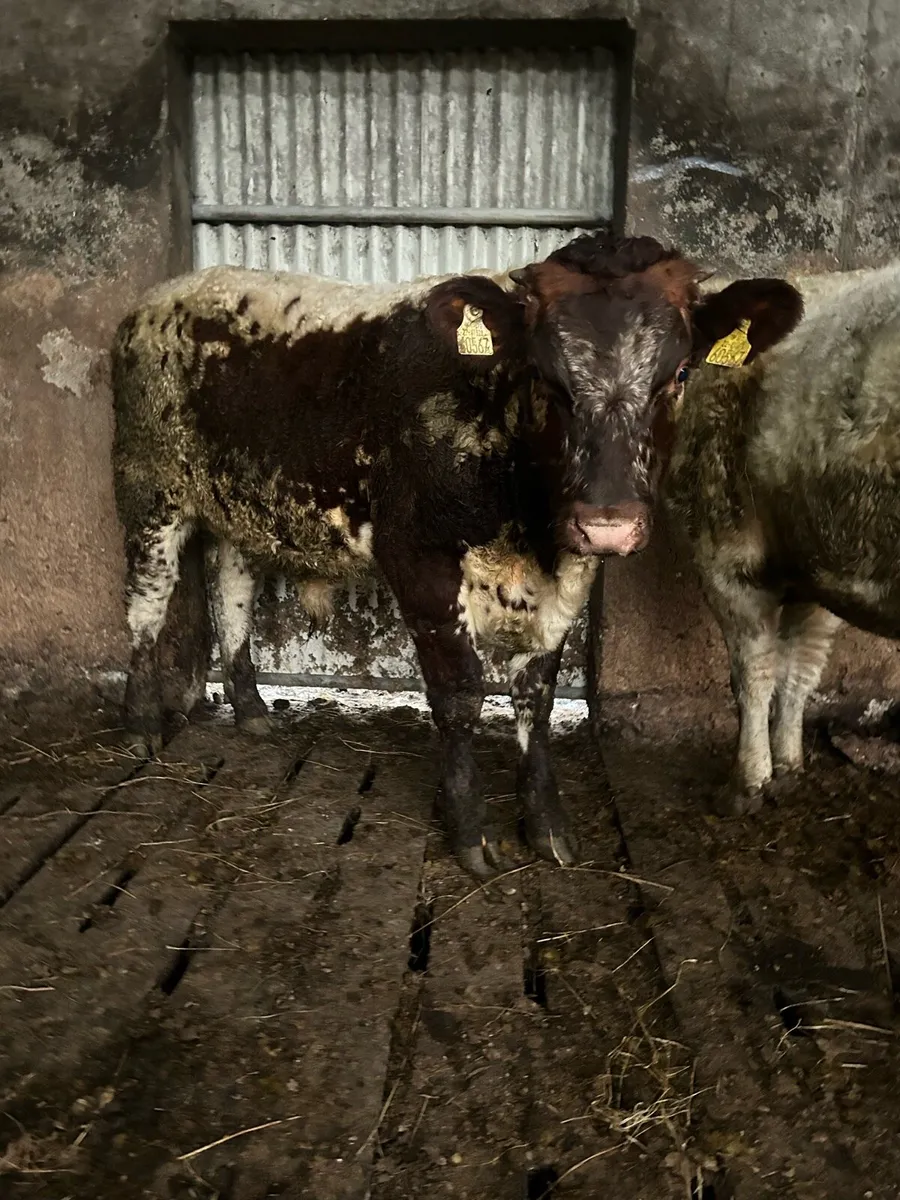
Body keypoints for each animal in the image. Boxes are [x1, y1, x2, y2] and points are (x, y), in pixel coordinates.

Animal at [112, 231, 799, 876]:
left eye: (678, 376)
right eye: (545, 377)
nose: (608, 522)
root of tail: (165, 296)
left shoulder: (572, 572)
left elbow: (537, 695)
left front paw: (546, 823)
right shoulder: (418, 559)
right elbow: (461, 692)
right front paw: (469, 826)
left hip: (241, 503)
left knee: (230, 589)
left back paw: (251, 709)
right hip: (148, 488)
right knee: (146, 604)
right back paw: (142, 722)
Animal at [665, 265, 900, 809]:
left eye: (678, 366)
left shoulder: (726, 554)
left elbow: (753, 674)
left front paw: (750, 779)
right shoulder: (821, 565)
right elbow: (800, 673)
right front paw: (789, 765)